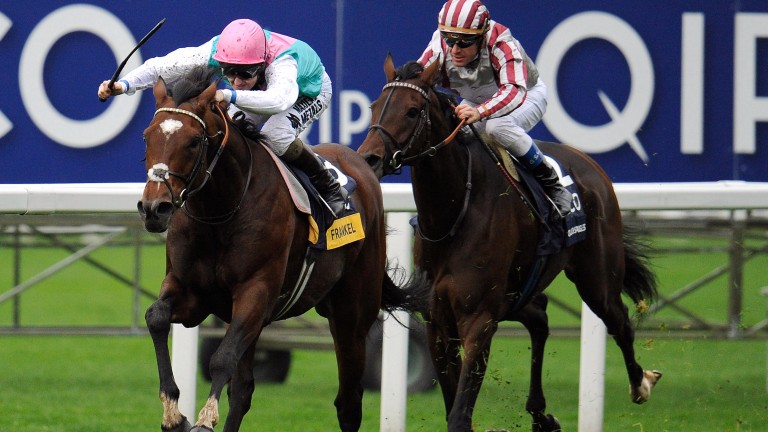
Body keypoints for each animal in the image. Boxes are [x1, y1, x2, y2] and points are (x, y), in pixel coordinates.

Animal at [139, 66, 426, 430]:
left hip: (352, 314)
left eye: (192, 141)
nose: (154, 208)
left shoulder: (256, 292)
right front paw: (173, 412)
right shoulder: (192, 293)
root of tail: (360, 164)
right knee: (243, 390)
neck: (221, 212)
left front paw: (204, 418)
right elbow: (157, 317)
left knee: (349, 400)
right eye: (147, 137)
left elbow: (222, 358)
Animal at [356, 55, 664, 430]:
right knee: (541, 317)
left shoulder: (479, 319)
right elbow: (452, 402)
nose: (369, 158)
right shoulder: (438, 322)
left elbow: (459, 414)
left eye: (413, 111)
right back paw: (541, 413)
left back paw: (641, 383)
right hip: (518, 292)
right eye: (374, 106)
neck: (454, 214)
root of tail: (591, 164)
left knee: (619, 322)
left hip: (597, 278)